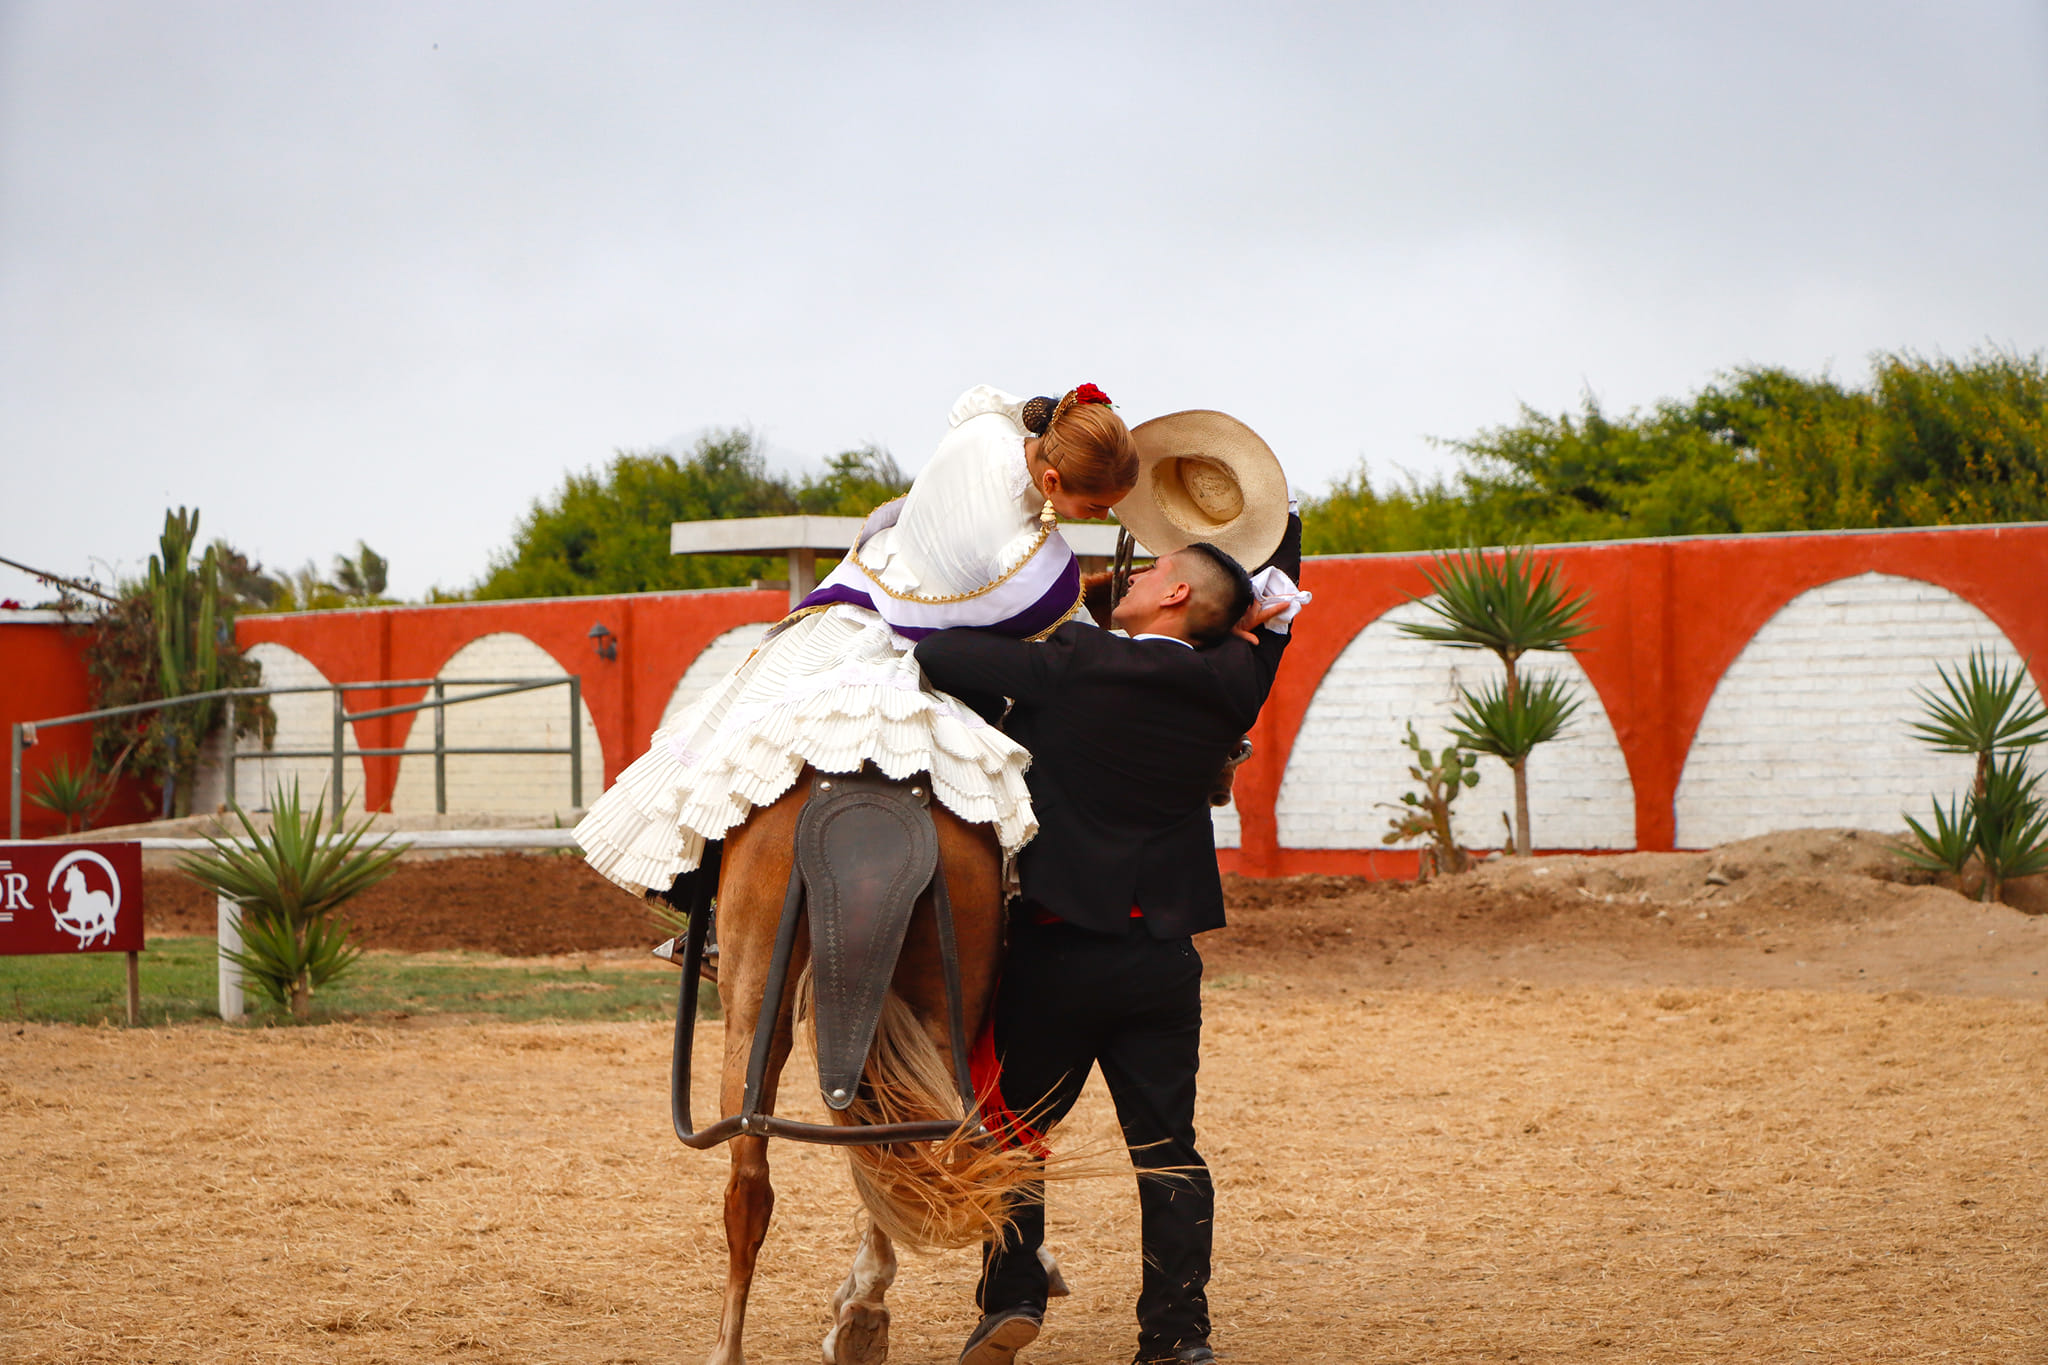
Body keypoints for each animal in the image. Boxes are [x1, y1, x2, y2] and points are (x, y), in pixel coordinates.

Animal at [704, 769, 1040, 1365]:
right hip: (939, 1012)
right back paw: (864, 1315)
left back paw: (736, 1347)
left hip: (748, 1016)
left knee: (748, 1189)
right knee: (899, 1152)